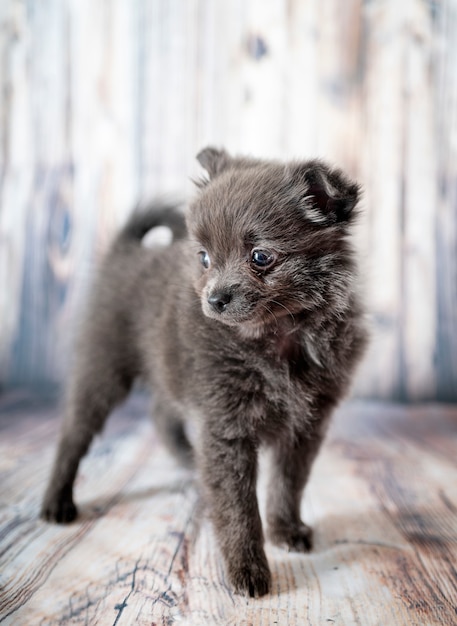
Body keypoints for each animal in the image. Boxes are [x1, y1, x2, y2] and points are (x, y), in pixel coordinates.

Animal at [41, 146, 366, 596]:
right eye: (204, 258)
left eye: (260, 257)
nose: (214, 299)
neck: (277, 337)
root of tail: (126, 253)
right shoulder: (227, 428)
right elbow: (238, 508)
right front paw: (248, 570)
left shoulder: (305, 425)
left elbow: (287, 484)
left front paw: (286, 530)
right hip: (102, 370)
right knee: (74, 434)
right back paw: (57, 501)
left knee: (161, 413)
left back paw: (188, 459)